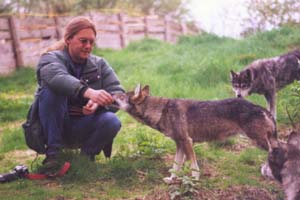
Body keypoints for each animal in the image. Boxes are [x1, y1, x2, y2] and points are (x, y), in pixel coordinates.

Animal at [112, 83, 276, 184]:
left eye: (121, 97)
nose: (111, 94)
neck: (162, 111)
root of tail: (260, 108)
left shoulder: (187, 142)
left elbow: (193, 167)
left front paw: (194, 181)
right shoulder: (179, 145)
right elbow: (176, 166)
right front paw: (171, 180)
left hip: (260, 141)